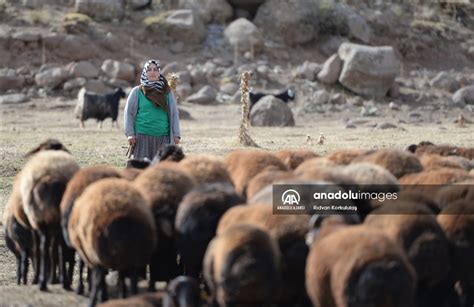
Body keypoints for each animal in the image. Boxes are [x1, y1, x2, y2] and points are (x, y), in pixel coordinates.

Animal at [19, 150, 78, 292]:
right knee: (54, 249)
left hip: (45, 222)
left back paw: (46, 281)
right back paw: (56, 282)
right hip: (54, 224)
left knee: (46, 249)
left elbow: (40, 250)